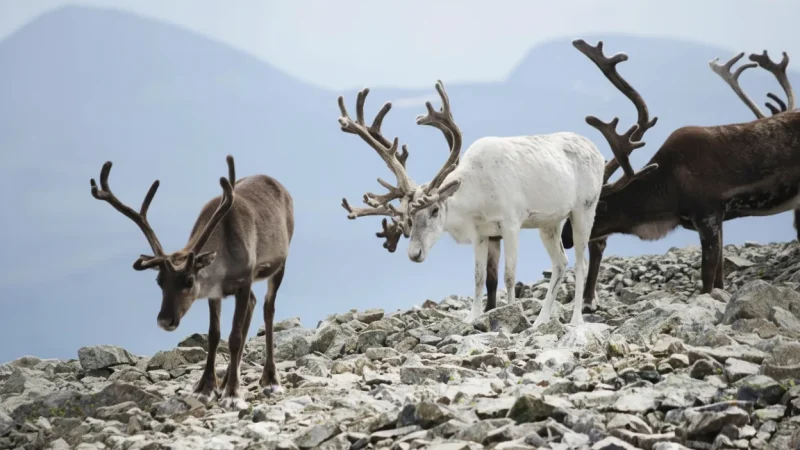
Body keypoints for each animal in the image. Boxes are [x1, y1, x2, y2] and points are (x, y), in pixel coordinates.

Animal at [89, 155, 294, 410]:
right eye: (159, 281)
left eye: (188, 281)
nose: (165, 320)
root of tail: (279, 186)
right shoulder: (215, 292)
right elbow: (214, 335)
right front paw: (205, 388)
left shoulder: (244, 280)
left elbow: (234, 337)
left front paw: (233, 395)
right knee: (253, 305)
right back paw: (228, 378)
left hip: (280, 264)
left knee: (268, 309)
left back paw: (270, 380)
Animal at [336, 80, 606, 327]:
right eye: (409, 217)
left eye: (435, 210)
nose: (414, 254)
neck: (476, 196)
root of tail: (598, 151)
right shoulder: (481, 233)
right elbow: (478, 277)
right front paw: (472, 317)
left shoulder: (511, 223)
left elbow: (509, 276)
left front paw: (512, 312)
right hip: (549, 222)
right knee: (560, 263)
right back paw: (541, 320)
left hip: (584, 209)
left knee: (580, 262)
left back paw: (576, 319)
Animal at [560, 38, 799, 306]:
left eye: (596, 208)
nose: (565, 238)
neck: (668, 189)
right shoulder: (718, 220)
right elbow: (719, 279)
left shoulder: (708, 215)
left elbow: (707, 281)